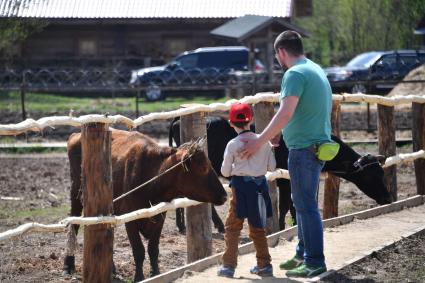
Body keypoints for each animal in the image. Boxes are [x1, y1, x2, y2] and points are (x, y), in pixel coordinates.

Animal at [63, 130, 227, 282]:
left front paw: (156, 273)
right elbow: (139, 250)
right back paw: (68, 265)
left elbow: (153, 248)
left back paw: (112, 269)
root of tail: (75, 135)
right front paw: (139, 277)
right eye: (203, 168)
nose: (224, 195)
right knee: (74, 225)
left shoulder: (160, 216)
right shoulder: (130, 219)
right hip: (76, 194)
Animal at [168, 117, 390, 233]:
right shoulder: (284, 179)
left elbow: (292, 204)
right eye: (371, 176)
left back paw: (187, 225)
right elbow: (284, 205)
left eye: (382, 173)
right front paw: (283, 227)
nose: (388, 198)